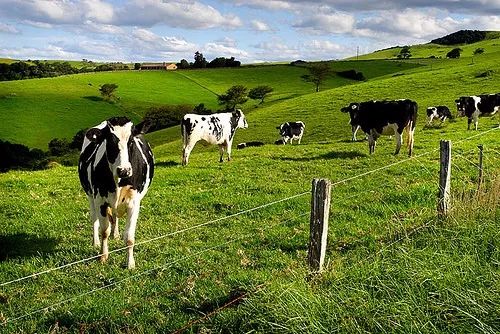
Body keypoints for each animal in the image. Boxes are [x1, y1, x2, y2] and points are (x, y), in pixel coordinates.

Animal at [76, 117, 153, 268]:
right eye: (110, 142)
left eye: (131, 141)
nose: (124, 170)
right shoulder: (100, 201)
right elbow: (104, 231)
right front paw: (103, 256)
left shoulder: (134, 202)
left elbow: (129, 237)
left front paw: (130, 264)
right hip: (90, 196)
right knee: (94, 219)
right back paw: (96, 242)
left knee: (115, 217)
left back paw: (115, 235)